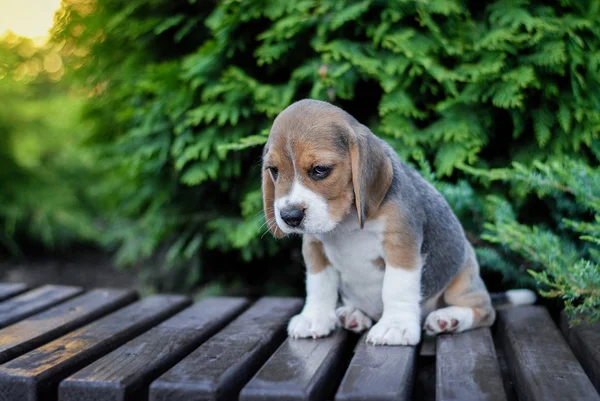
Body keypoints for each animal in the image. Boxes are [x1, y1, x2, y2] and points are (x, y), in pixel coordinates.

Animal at [262, 99, 536, 344]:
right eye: (273, 171)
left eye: (320, 169)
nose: (290, 216)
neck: (347, 223)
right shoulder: (315, 247)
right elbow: (318, 286)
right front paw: (314, 318)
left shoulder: (401, 244)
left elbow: (396, 287)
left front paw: (395, 326)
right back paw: (354, 314)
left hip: (463, 277)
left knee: (484, 310)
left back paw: (449, 318)